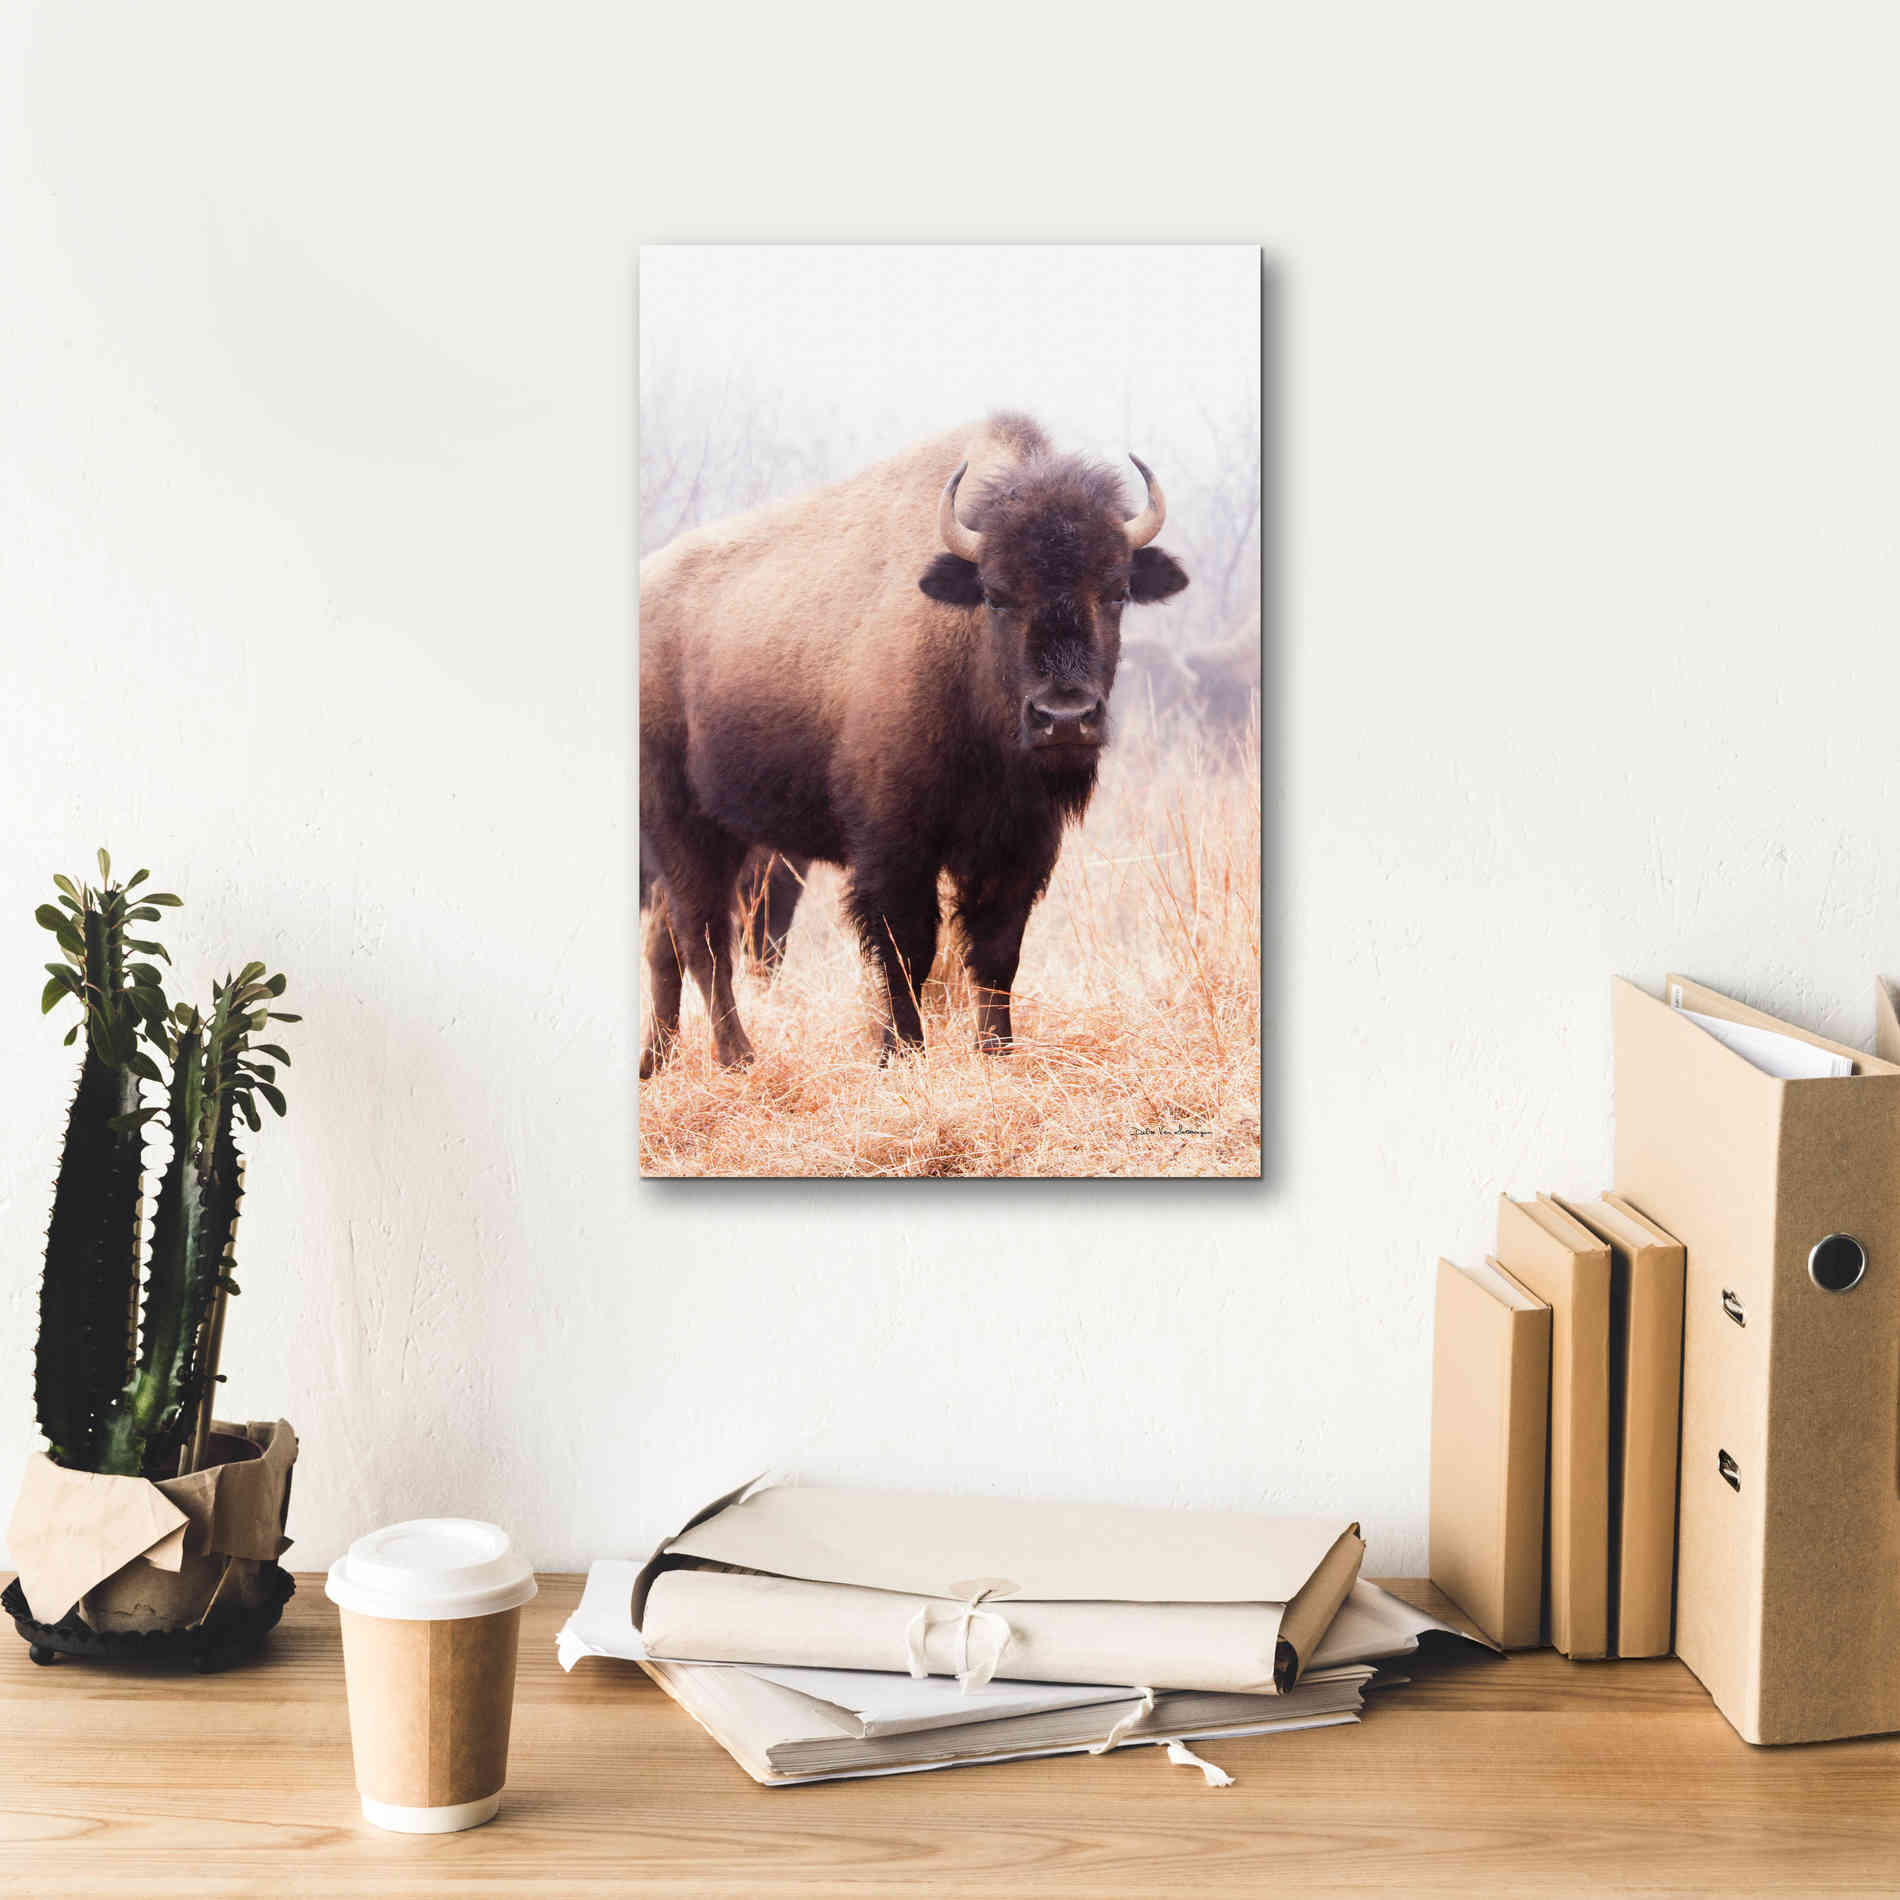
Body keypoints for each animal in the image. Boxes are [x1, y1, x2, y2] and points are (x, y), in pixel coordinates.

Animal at [638, 413, 1188, 1076]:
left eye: (1116, 592)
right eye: (997, 594)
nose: (1064, 717)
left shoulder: (1019, 845)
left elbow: (997, 950)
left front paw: (997, 1051)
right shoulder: (894, 845)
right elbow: (907, 949)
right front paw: (900, 1051)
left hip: (725, 833)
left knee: (667, 941)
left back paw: (656, 1062)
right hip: (682, 825)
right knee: (704, 939)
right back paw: (736, 1057)